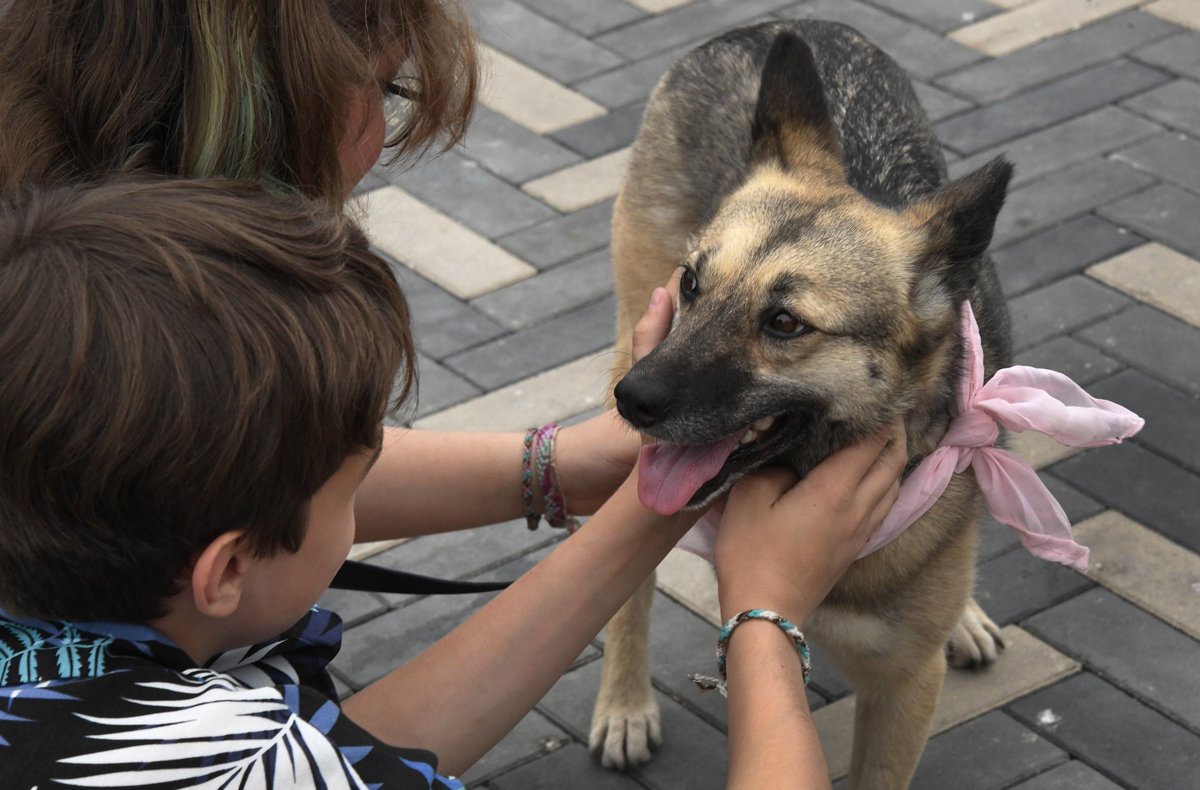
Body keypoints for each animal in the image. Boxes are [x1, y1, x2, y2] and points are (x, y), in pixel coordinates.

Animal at [595, 19, 1017, 787]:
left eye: (785, 323)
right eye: (692, 284)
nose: (631, 402)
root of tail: (761, 27)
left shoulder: (904, 688)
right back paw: (624, 704)